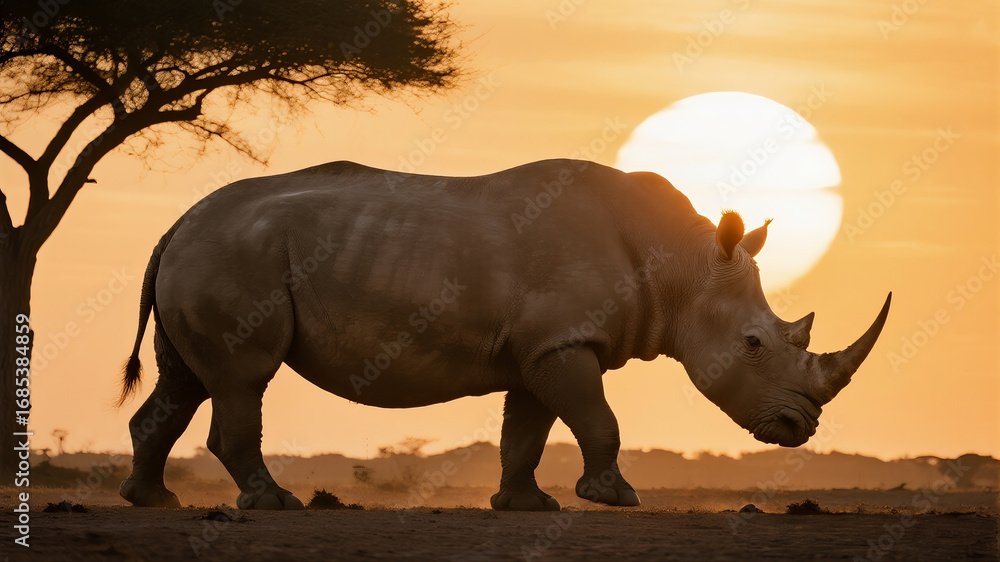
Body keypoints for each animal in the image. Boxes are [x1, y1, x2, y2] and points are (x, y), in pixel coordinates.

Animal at [118, 159, 890, 511]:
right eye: (757, 344)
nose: (800, 427)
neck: (683, 269)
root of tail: (177, 222)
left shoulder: (543, 347)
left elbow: (527, 431)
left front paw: (524, 505)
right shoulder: (563, 343)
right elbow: (598, 421)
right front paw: (615, 499)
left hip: (210, 254)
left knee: (184, 381)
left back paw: (153, 501)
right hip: (232, 257)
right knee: (242, 377)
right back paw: (273, 505)